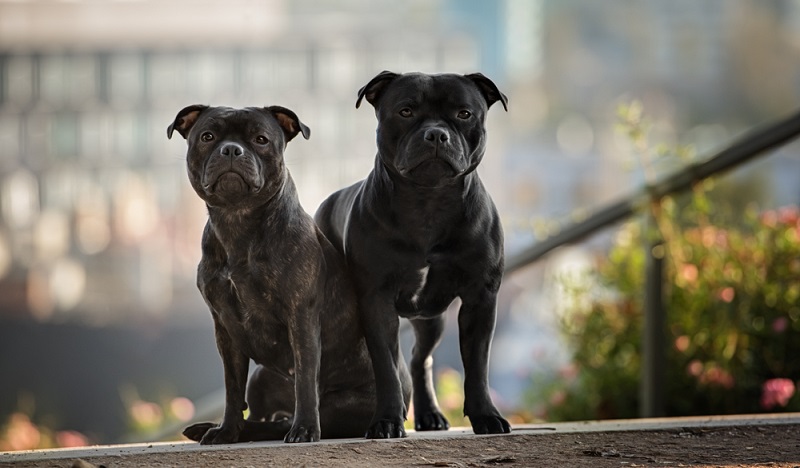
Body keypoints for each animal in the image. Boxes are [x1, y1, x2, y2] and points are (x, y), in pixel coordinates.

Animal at [166, 104, 404, 444]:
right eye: (207, 136)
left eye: (261, 139)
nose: (231, 149)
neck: (238, 221)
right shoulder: (226, 331)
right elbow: (232, 389)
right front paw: (226, 431)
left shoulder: (301, 318)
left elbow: (304, 381)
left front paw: (304, 429)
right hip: (261, 378)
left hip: (342, 403)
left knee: (289, 418)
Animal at [314, 71, 510, 436]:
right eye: (405, 111)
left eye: (464, 113)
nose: (435, 133)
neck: (428, 201)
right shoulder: (376, 300)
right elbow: (387, 369)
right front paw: (386, 421)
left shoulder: (481, 299)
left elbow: (477, 367)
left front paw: (486, 416)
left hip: (431, 318)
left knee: (421, 358)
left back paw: (430, 415)